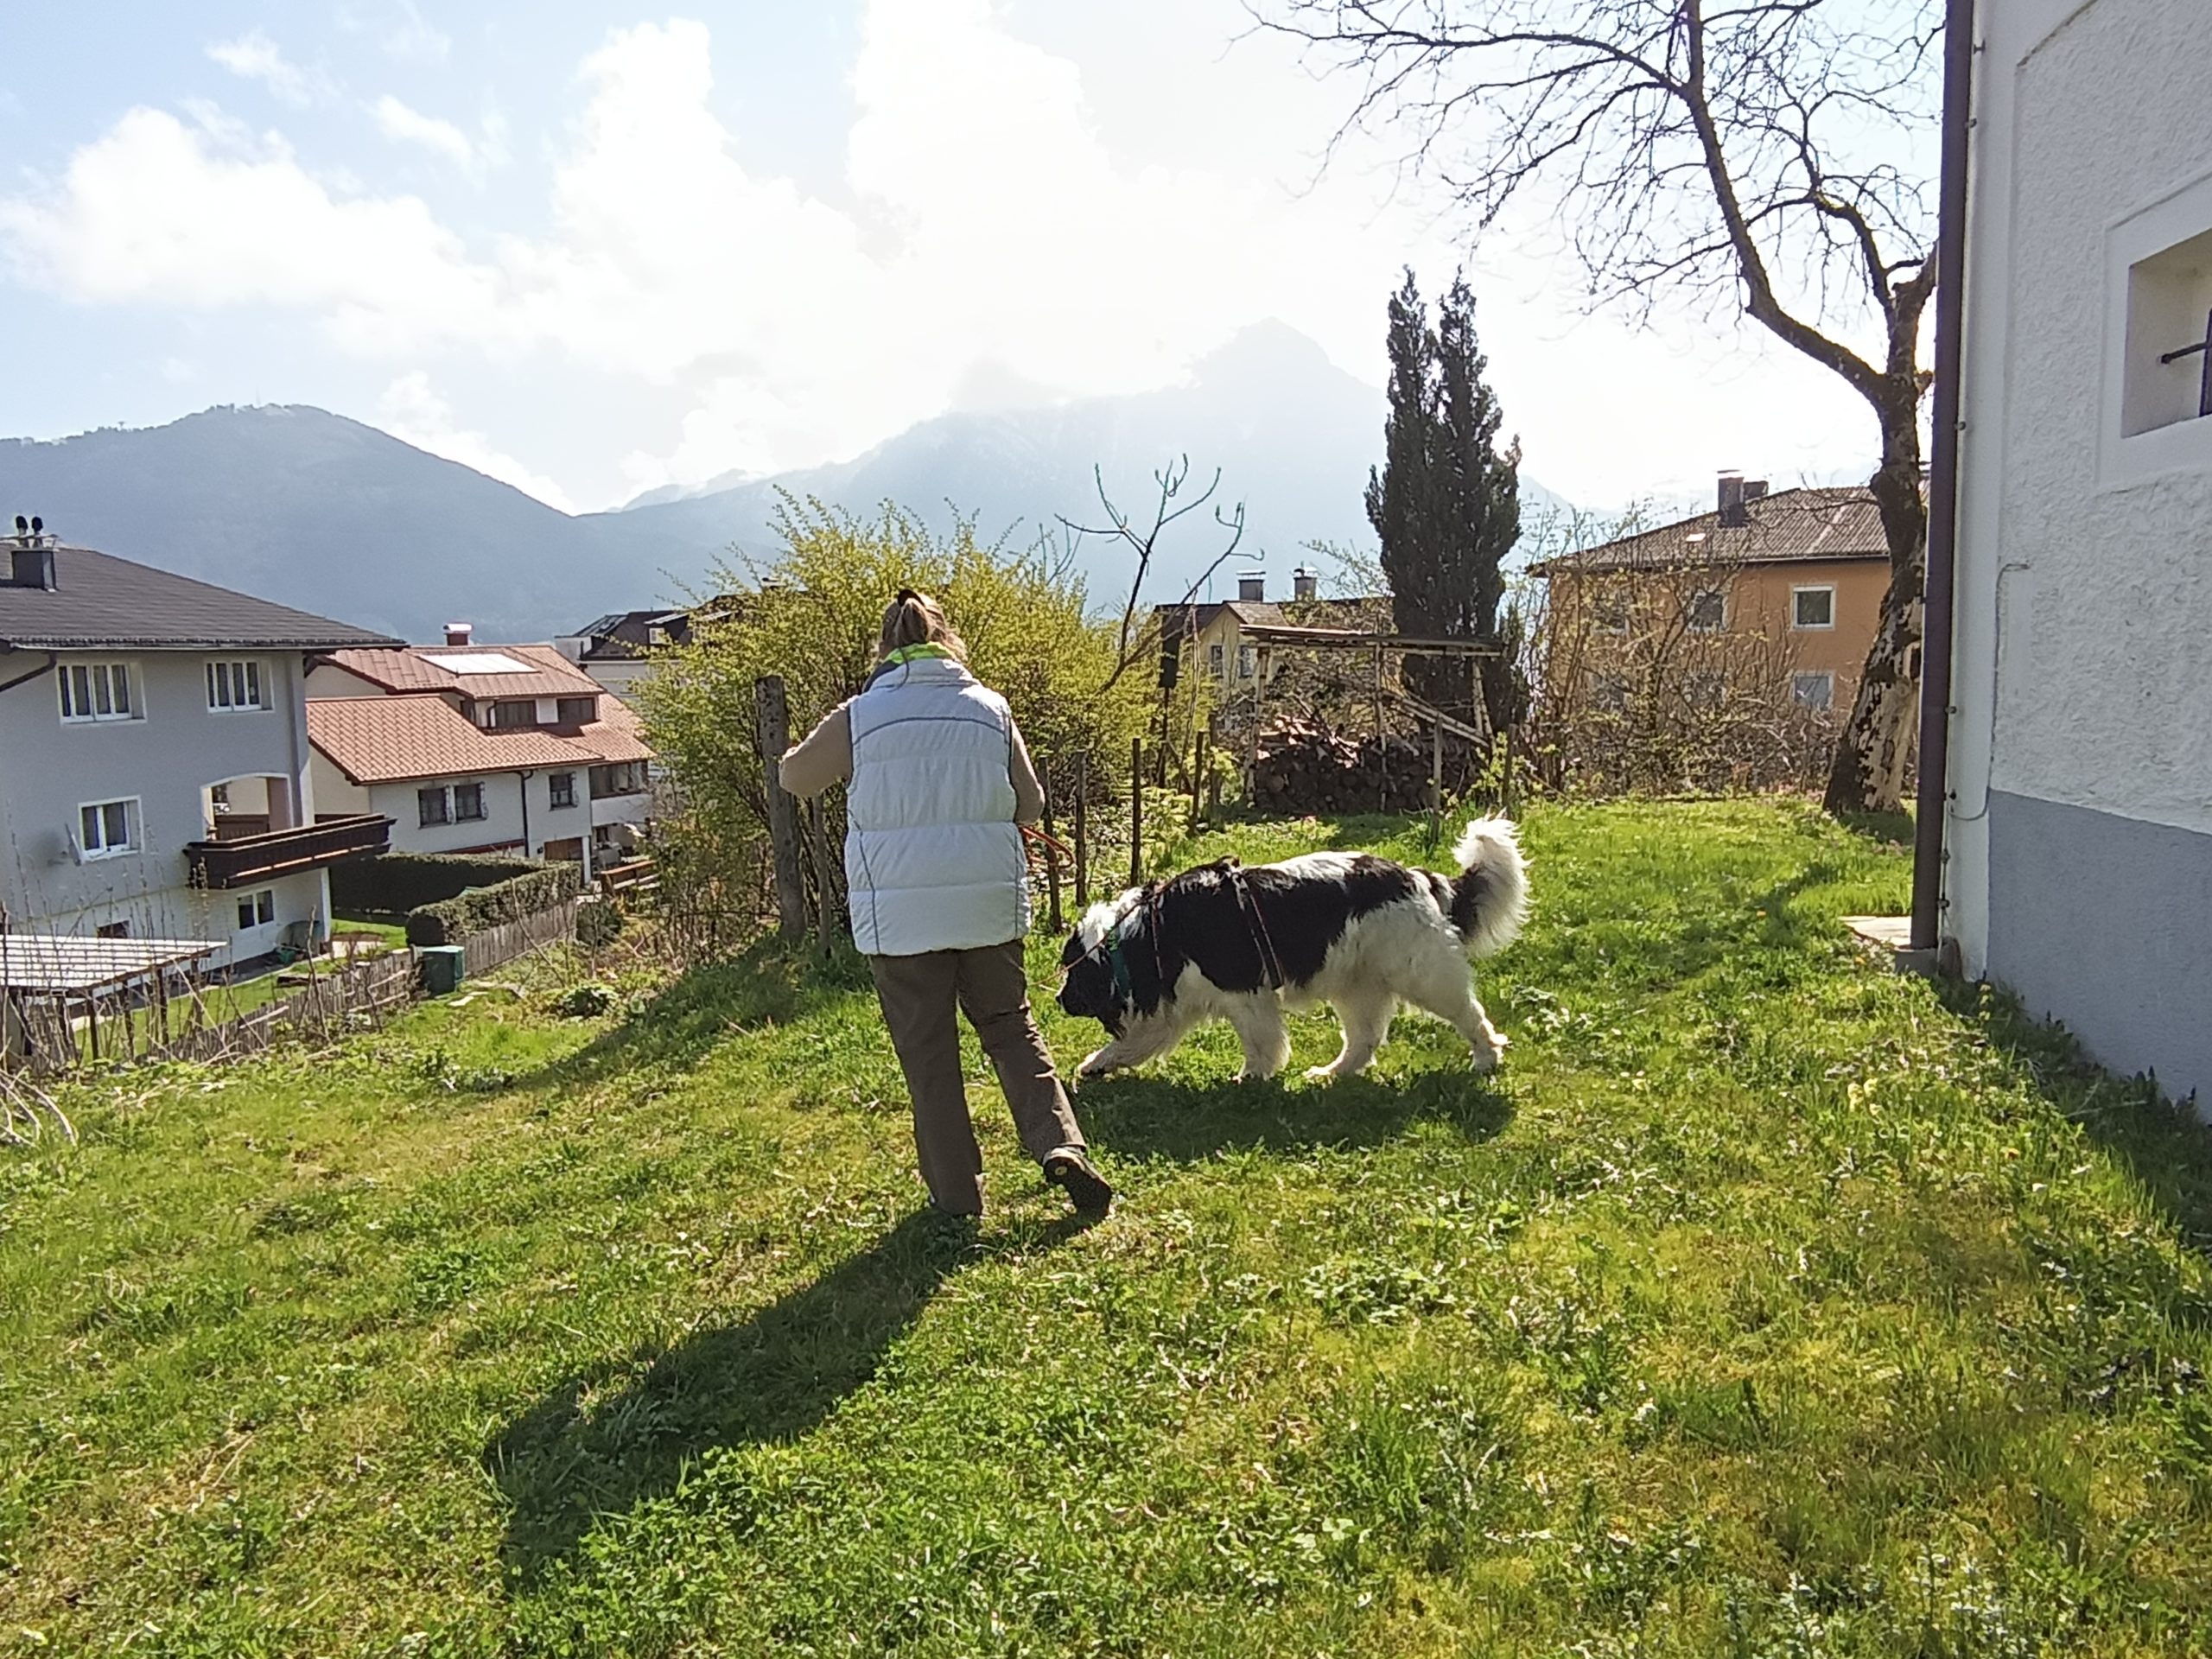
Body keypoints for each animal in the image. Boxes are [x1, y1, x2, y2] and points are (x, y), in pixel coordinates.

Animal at [1056, 818, 1528, 1084]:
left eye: (1072, 977)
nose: (1059, 1000)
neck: (1148, 930)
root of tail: (1417, 877)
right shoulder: (1172, 1005)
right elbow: (1132, 1043)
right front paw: (1096, 1065)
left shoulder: (1245, 993)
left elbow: (1261, 1041)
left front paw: (1252, 1077)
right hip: (1356, 985)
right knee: (1364, 1039)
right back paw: (1331, 1074)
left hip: (1421, 974)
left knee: (1470, 1014)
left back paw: (1486, 1057)